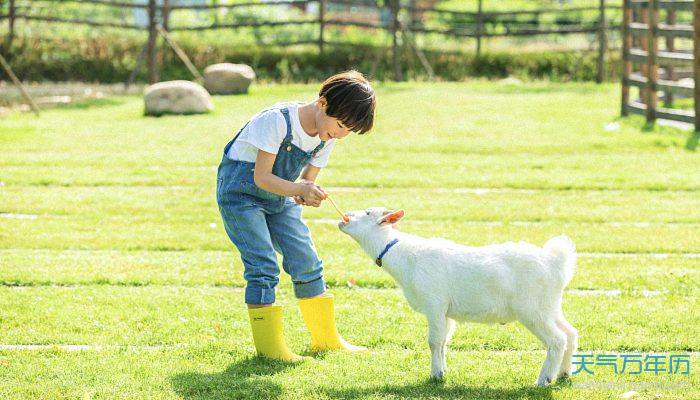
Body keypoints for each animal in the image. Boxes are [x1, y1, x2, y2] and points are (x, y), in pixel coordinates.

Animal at [340, 208, 580, 386]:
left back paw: (544, 380)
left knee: (557, 339)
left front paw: (435, 375)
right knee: (570, 333)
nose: (344, 218)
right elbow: (444, 341)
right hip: (549, 306)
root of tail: (557, 262)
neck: (403, 256)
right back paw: (564, 373)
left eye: (368, 212)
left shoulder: (434, 303)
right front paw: (443, 371)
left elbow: (434, 341)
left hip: (531, 309)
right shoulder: (446, 311)